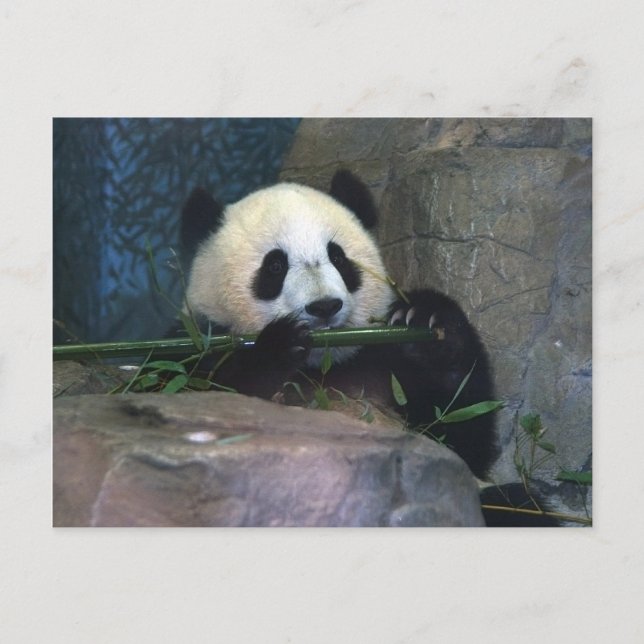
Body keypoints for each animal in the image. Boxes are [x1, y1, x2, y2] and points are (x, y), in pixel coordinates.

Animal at [176, 169, 558, 527]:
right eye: (274, 265)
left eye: (339, 258)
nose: (324, 306)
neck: (324, 364)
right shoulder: (196, 345)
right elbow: (212, 398)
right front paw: (278, 346)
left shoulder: (382, 359)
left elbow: (460, 434)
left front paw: (429, 319)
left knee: (513, 505)